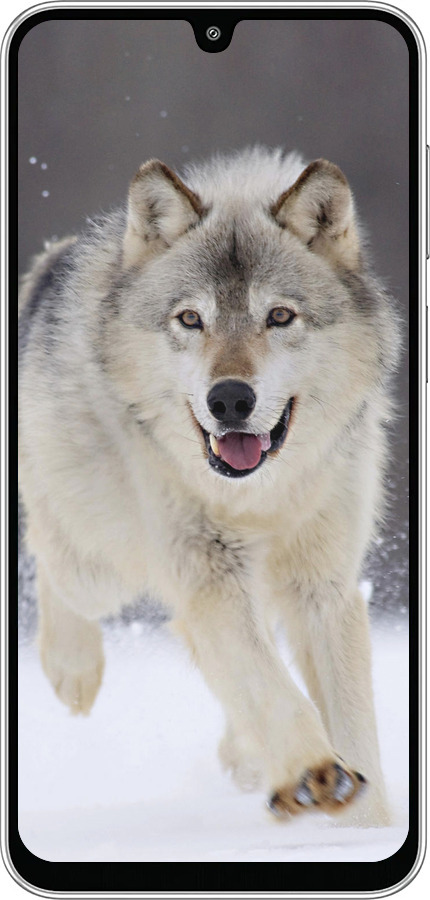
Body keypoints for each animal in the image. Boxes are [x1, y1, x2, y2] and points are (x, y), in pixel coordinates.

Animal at [18, 147, 399, 826]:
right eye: (191, 319)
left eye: (279, 316)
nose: (229, 400)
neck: (260, 497)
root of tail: (52, 260)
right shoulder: (208, 574)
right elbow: (270, 686)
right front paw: (314, 773)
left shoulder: (323, 585)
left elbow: (351, 721)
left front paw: (365, 823)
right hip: (102, 565)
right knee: (50, 555)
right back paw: (73, 671)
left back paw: (245, 757)